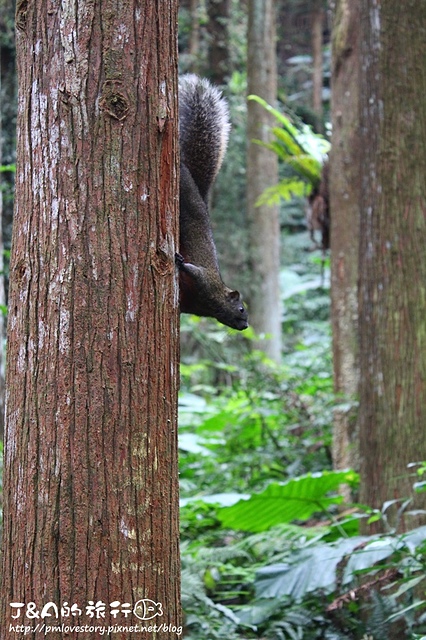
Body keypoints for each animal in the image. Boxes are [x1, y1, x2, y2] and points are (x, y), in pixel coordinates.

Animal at [177, 75, 250, 332]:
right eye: (241, 309)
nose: (246, 325)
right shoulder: (205, 281)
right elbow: (192, 271)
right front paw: (179, 263)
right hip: (185, 197)